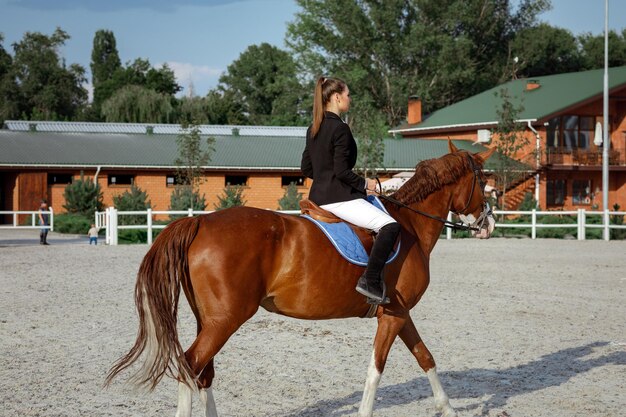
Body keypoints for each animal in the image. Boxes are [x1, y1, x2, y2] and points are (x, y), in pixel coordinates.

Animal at [109, 141, 494, 414]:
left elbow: (425, 357)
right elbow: (376, 369)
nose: (488, 224)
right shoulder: (395, 315)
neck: (410, 224)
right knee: (190, 366)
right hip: (225, 319)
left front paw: (448, 409)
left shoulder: (399, 313)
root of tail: (200, 221)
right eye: (486, 183)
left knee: (202, 373)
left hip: (210, 319)